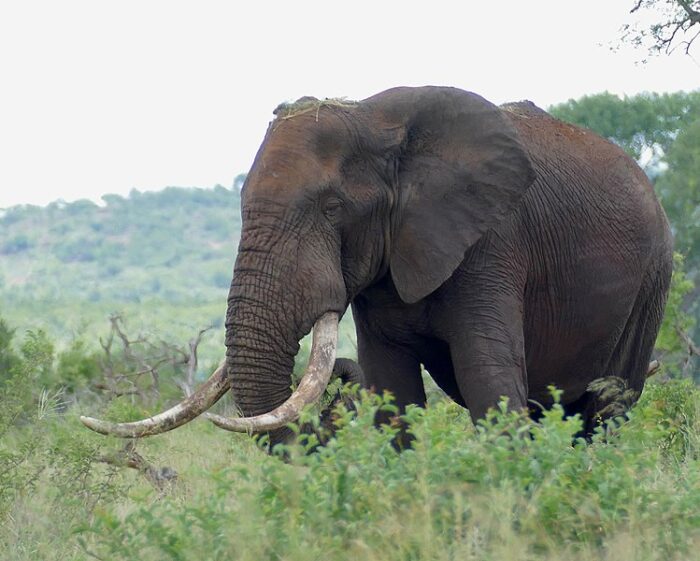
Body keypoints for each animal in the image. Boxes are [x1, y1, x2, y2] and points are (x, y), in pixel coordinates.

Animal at [81, 86, 673, 446]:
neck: (376, 119)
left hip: (653, 279)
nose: (340, 385)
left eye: (332, 208)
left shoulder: (492, 242)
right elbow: (393, 392)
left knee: (604, 413)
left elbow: (491, 384)